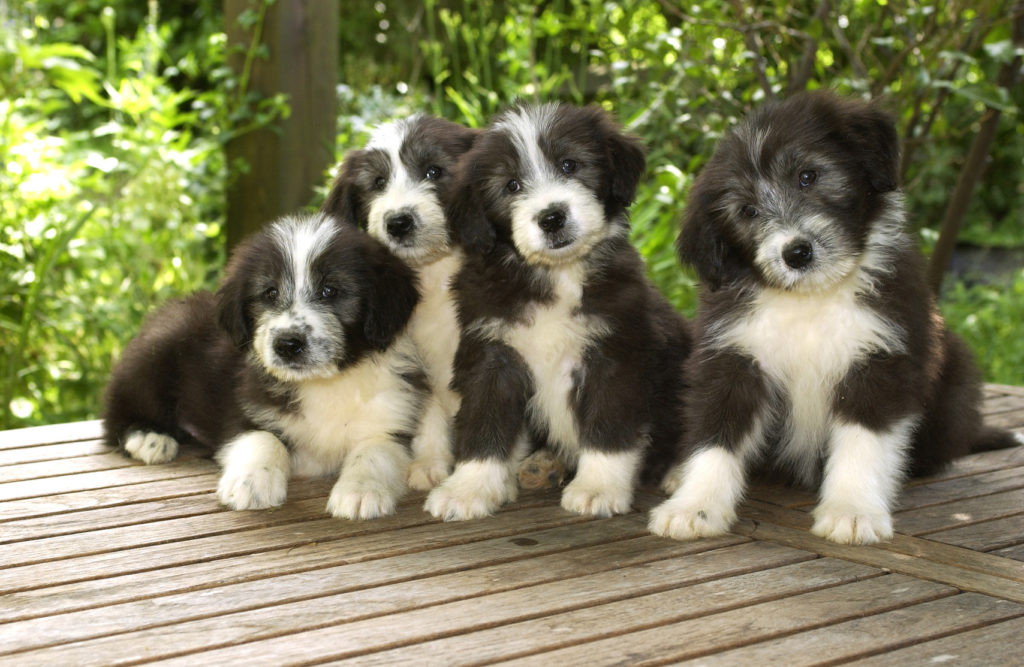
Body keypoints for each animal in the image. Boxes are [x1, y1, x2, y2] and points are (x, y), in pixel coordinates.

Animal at [102, 214, 423, 522]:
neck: (325, 383)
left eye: (330, 291)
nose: (287, 344)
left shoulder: (394, 420)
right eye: (270, 293)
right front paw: (251, 483)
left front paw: (361, 491)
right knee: (118, 409)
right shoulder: (246, 407)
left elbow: (374, 451)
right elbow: (264, 439)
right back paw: (149, 437)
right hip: (156, 351)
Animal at [321, 113, 477, 489]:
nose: (398, 222)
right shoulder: (416, 359)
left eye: (433, 171)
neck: (434, 274)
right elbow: (428, 411)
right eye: (378, 183)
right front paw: (429, 463)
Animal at [423, 102, 696, 522]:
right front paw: (468, 488)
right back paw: (542, 465)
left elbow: (607, 427)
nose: (551, 217)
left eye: (570, 165)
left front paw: (598, 487)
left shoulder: (615, 352)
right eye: (512, 186)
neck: (556, 276)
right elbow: (483, 425)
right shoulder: (493, 356)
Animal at [651, 91, 1019, 545]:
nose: (796, 253)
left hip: (956, 372)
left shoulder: (880, 355)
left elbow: (863, 440)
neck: (812, 302)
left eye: (808, 176)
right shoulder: (733, 357)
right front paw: (695, 505)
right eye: (748, 211)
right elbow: (716, 435)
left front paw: (852, 510)